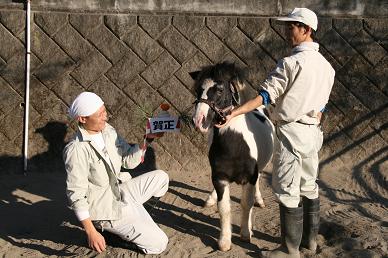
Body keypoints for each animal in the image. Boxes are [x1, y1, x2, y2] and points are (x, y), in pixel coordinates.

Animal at [189, 62, 274, 252]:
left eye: (220, 89)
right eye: (198, 90)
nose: (199, 121)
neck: (235, 146)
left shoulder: (249, 178)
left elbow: (246, 204)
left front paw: (246, 233)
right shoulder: (219, 178)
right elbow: (224, 208)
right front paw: (224, 241)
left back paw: (259, 201)